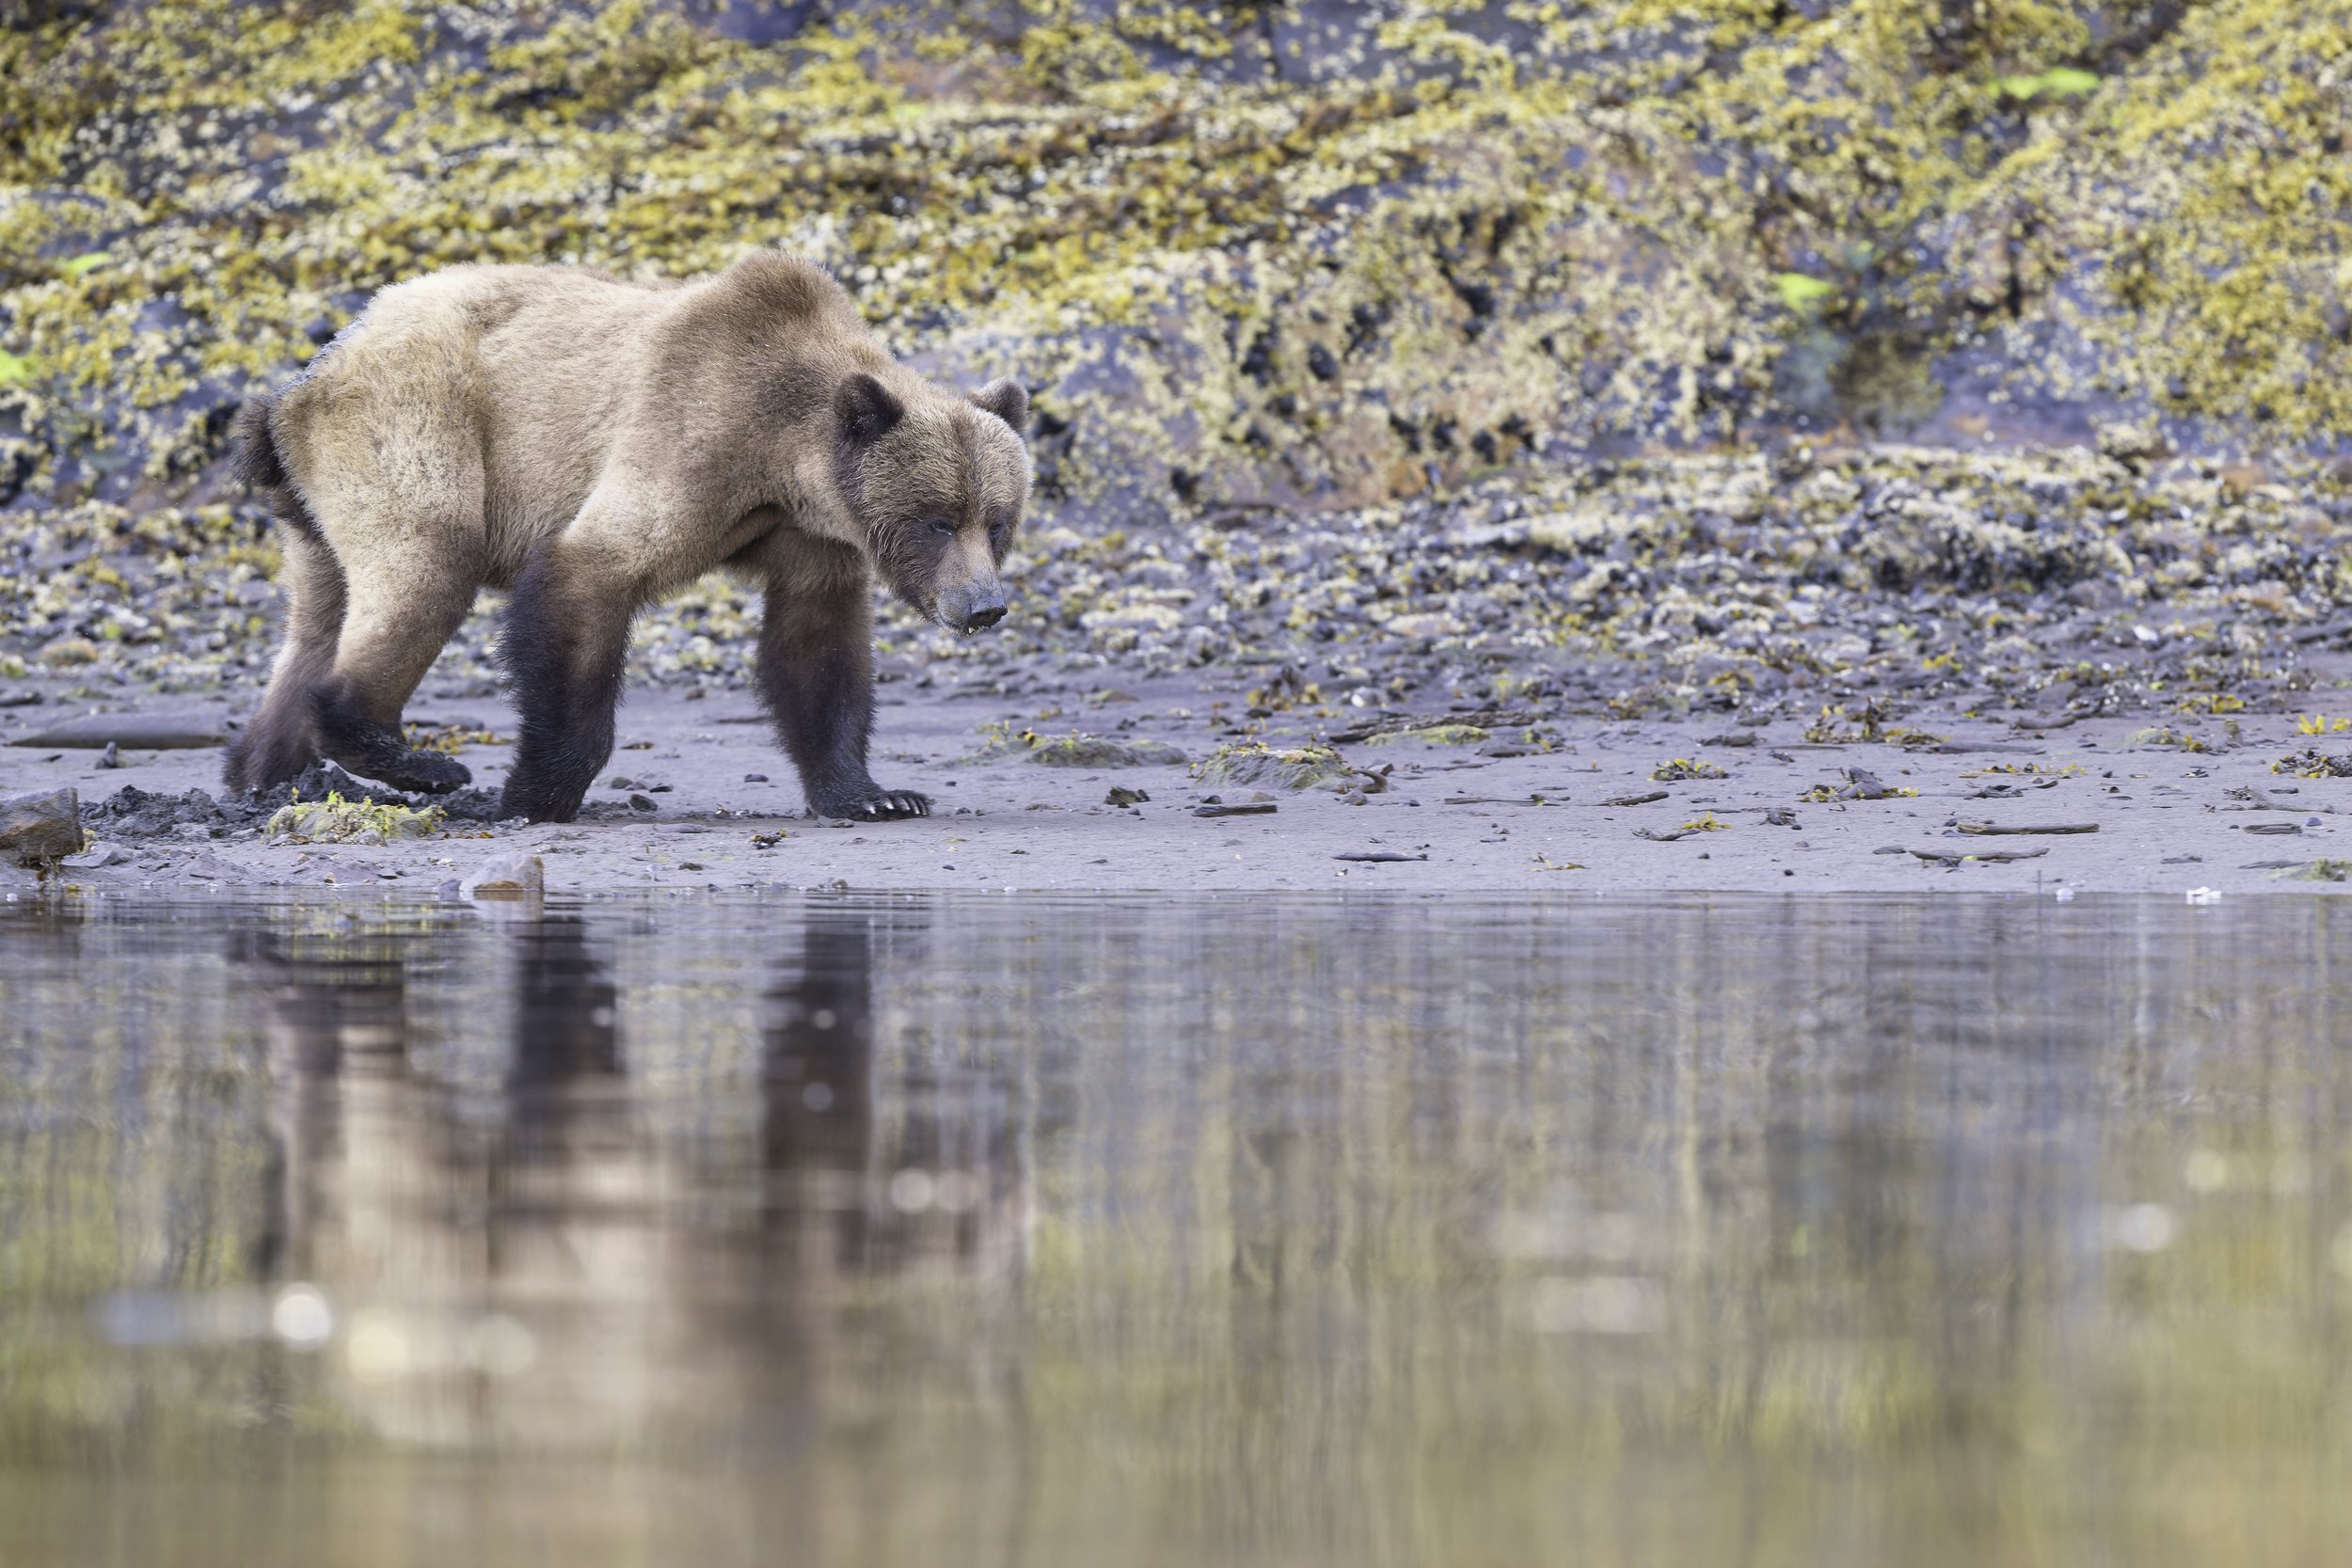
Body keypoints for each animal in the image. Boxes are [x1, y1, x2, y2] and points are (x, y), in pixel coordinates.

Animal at [224, 250, 1030, 824]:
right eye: (936, 519)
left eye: (997, 520)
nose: (983, 605)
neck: (784, 457)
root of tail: (301, 380)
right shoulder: (693, 432)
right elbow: (589, 576)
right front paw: (534, 794)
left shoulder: (813, 535)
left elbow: (817, 648)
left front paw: (875, 793)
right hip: (414, 419)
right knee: (427, 560)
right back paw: (414, 759)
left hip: (315, 498)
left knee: (320, 612)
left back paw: (264, 772)